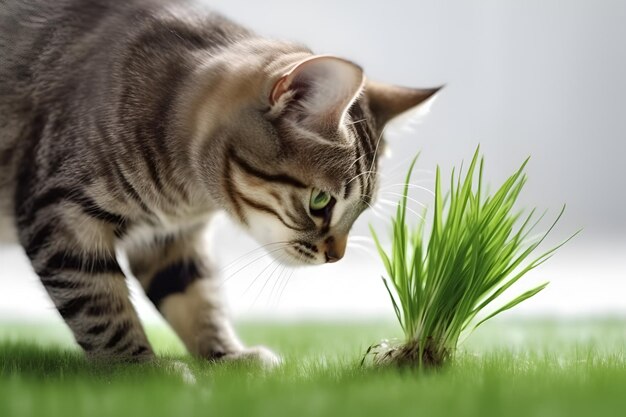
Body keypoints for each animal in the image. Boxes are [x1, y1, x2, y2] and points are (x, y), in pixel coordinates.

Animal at [0, 0, 438, 364]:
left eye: (362, 210)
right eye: (320, 202)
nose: (337, 257)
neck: (185, 197)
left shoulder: (174, 238)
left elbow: (196, 297)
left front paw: (227, 358)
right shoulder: (62, 216)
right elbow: (100, 306)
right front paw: (139, 369)